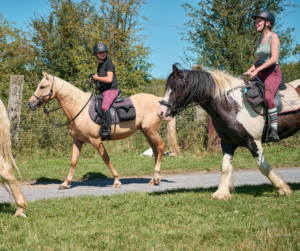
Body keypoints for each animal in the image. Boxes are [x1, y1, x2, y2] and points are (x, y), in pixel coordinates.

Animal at [27, 71, 179, 189]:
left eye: (42, 86)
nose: (30, 104)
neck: (79, 108)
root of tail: (160, 101)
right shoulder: (77, 141)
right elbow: (73, 161)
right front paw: (66, 183)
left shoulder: (95, 140)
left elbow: (106, 158)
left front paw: (116, 180)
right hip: (146, 132)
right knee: (156, 151)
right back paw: (155, 179)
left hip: (151, 131)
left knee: (161, 147)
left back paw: (156, 176)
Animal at [157, 64, 300, 200]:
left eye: (174, 88)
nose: (161, 113)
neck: (232, 105)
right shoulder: (227, 143)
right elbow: (225, 168)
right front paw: (221, 193)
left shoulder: (254, 142)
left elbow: (263, 167)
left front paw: (282, 189)